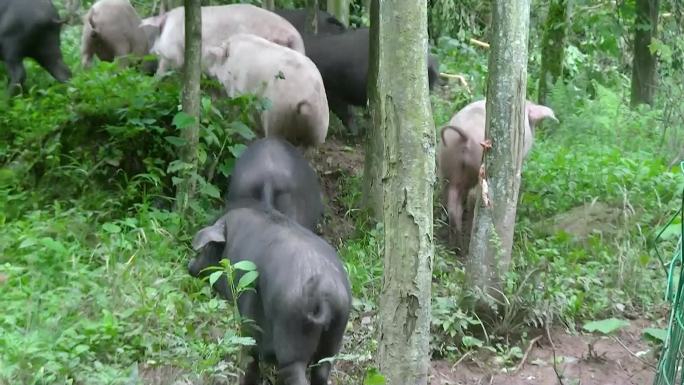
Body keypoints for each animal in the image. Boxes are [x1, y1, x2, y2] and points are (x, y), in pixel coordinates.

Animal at [187, 200, 350, 384]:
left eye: (207, 247)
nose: (189, 265)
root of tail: (325, 296)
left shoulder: (248, 318)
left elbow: (249, 355)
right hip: (333, 341)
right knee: (322, 371)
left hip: (292, 342)